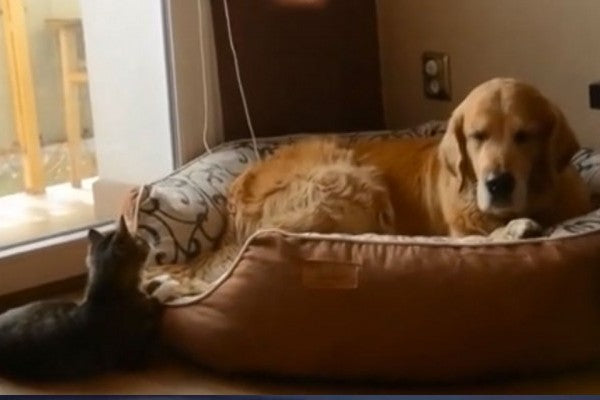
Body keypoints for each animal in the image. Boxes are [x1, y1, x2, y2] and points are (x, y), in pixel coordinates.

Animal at [0, 217, 162, 380]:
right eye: (139, 240)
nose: (148, 241)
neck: (106, 294)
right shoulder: (134, 359)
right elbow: (154, 306)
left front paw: (153, 284)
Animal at [226, 77, 592, 241]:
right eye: (477, 136)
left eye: (525, 135)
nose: (497, 183)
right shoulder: (462, 234)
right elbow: (481, 237)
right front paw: (516, 228)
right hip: (352, 183)